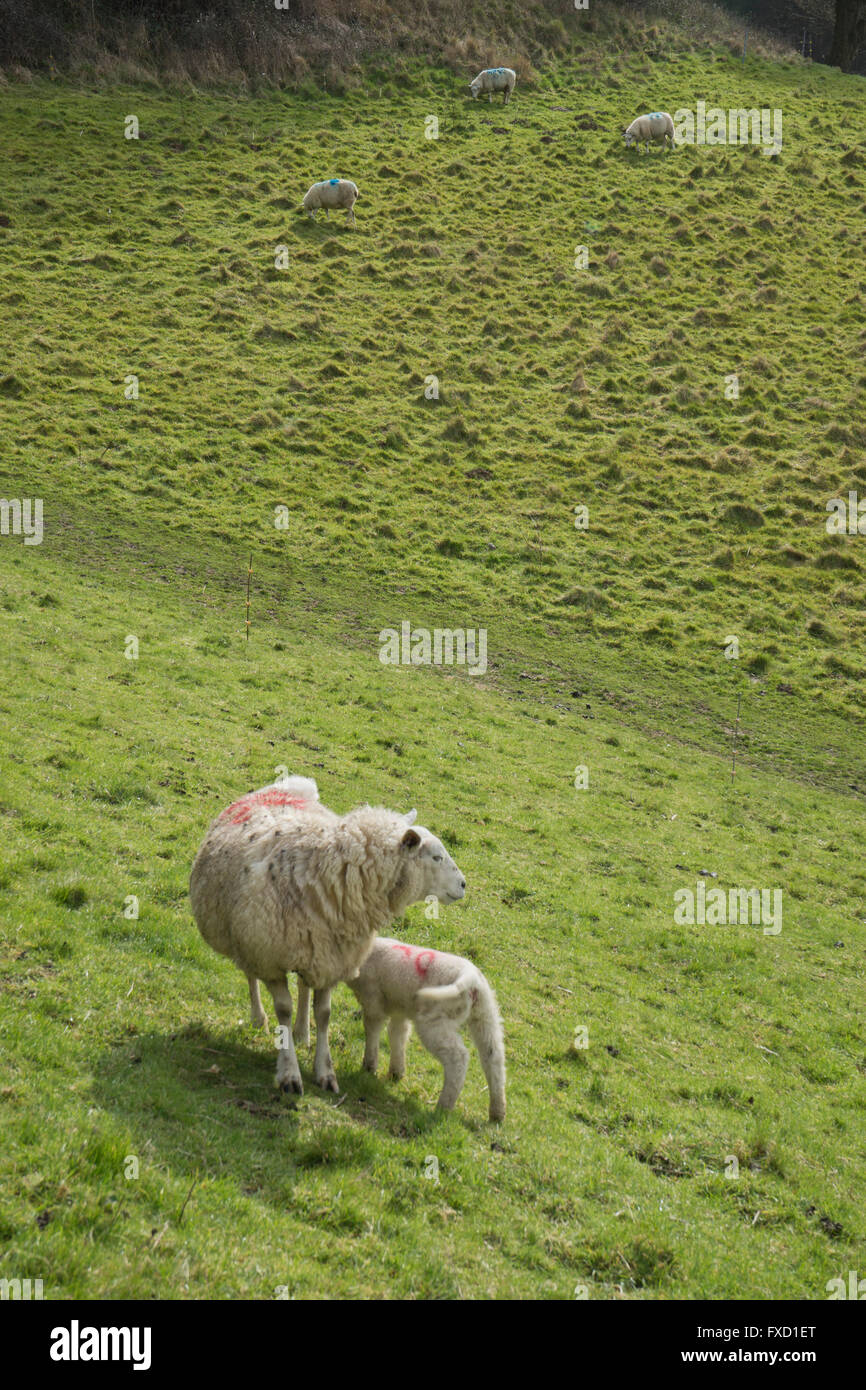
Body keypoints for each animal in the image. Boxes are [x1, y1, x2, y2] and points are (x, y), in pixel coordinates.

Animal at [189, 777, 466, 1096]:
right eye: (436, 856)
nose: (463, 884)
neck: (330, 871)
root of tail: (288, 783)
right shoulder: (269, 956)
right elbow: (283, 1008)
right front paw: (289, 1072)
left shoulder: (333, 959)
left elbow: (324, 1014)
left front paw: (325, 1072)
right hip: (248, 938)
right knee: (250, 975)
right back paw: (260, 1019)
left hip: (311, 948)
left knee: (303, 985)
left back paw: (301, 1032)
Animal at [345, 937, 506, 1121]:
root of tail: (471, 979)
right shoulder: (399, 1007)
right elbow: (397, 1034)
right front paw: (396, 1072)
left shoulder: (373, 998)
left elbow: (372, 1029)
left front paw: (369, 1067)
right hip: (486, 1014)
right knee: (493, 1056)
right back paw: (497, 1112)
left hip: (435, 1019)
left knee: (458, 1057)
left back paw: (444, 1106)